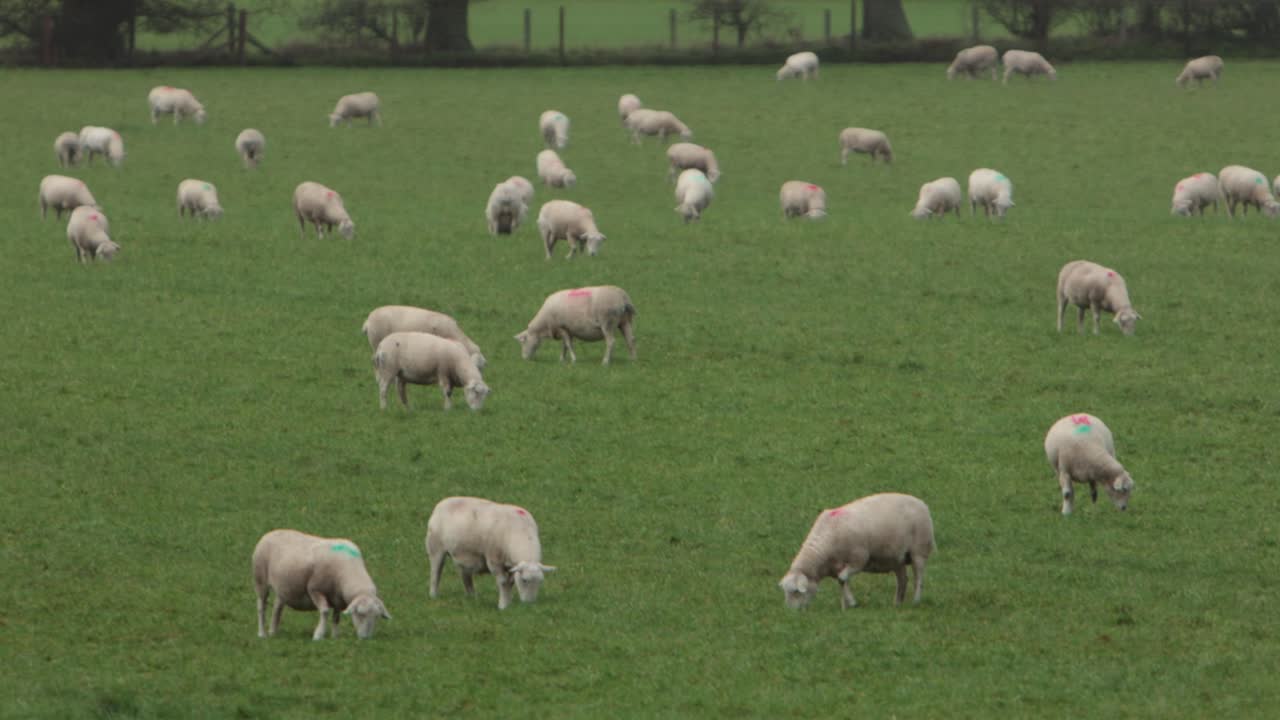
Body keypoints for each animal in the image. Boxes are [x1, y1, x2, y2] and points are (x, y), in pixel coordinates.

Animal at [252, 529, 390, 640]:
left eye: (376, 617)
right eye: (360, 614)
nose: (365, 638)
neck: (348, 571)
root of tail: (269, 533)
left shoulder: (338, 599)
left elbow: (336, 617)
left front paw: (335, 637)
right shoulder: (315, 589)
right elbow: (324, 611)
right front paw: (318, 635)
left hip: (283, 588)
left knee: (277, 608)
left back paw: (273, 632)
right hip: (260, 580)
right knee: (261, 607)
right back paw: (262, 633)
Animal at [426, 496, 557, 610]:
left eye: (540, 581)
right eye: (524, 580)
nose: (529, 604)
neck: (521, 532)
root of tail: (443, 502)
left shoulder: (511, 565)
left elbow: (510, 582)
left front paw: (508, 602)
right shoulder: (494, 561)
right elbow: (503, 582)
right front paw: (503, 606)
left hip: (463, 555)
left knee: (466, 576)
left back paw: (472, 597)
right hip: (436, 548)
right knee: (435, 573)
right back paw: (433, 596)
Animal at [778, 493, 935, 610]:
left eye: (796, 592)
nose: (791, 613)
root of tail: (922, 504)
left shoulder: (859, 559)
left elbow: (843, 578)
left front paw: (849, 604)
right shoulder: (837, 566)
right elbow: (842, 581)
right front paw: (847, 604)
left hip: (919, 550)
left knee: (919, 578)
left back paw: (916, 601)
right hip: (897, 558)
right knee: (902, 580)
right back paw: (897, 603)